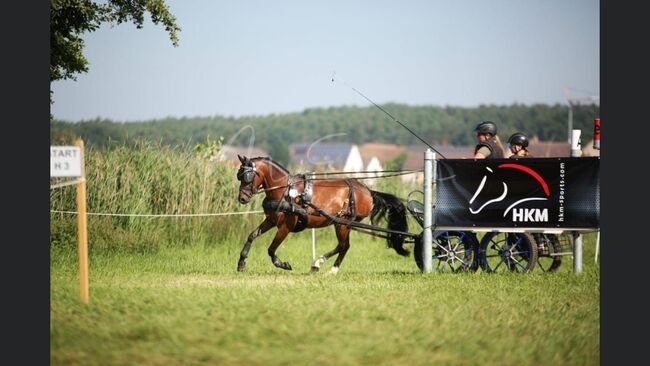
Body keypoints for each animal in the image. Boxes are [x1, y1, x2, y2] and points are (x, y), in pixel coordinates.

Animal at [235, 155, 408, 274]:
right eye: (239, 175)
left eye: (247, 176)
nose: (242, 198)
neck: (285, 191)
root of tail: (368, 191)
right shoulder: (271, 221)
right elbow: (252, 235)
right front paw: (241, 262)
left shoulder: (285, 226)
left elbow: (271, 249)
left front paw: (283, 264)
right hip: (342, 224)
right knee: (342, 246)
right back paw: (318, 264)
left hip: (343, 223)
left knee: (344, 246)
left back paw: (330, 269)